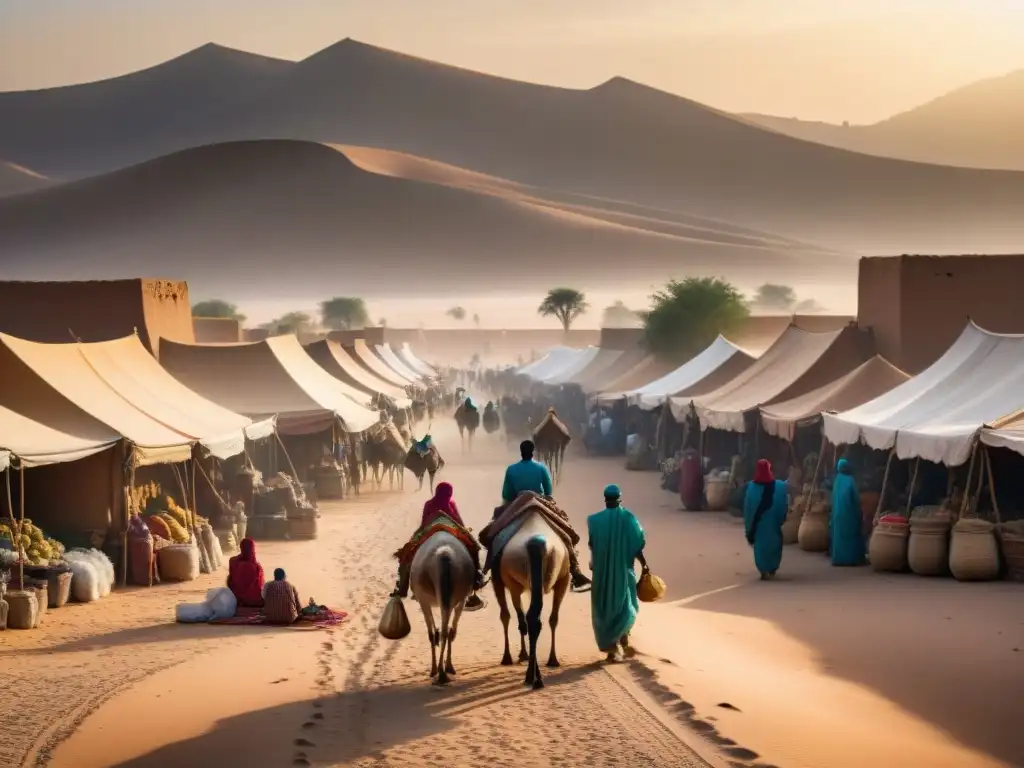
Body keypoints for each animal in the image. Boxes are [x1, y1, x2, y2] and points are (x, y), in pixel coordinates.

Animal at [407, 532, 475, 688]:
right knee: (447, 630)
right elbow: (445, 631)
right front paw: (443, 667)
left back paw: (441, 672)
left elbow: (432, 634)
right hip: (453, 598)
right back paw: (444, 671)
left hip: (432, 598)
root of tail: (443, 556)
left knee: (442, 631)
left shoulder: (424, 601)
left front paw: (433, 669)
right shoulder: (459, 600)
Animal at [491, 512, 573, 692]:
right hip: (552, 578)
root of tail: (537, 545)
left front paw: (513, 656)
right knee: (535, 618)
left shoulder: (500, 581)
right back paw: (538, 674)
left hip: (517, 581)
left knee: (526, 618)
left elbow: (508, 616)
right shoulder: (563, 579)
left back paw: (532, 676)